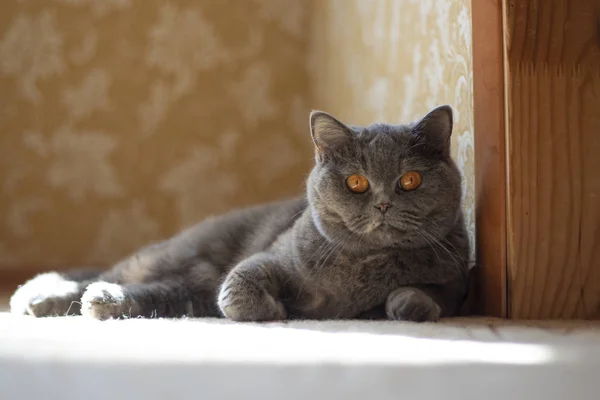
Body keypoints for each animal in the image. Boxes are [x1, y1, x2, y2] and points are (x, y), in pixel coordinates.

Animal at [8, 105, 468, 322]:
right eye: (356, 182)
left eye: (410, 180)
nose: (383, 203)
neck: (364, 267)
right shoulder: (270, 257)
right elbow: (239, 286)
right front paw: (277, 310)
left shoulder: (454, 279)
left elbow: (431, 293)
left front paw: (409, 304)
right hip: (180, 254)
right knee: (114, 271)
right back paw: (39, 296)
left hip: (186, 291)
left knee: (148, 291)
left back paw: (100, 302)